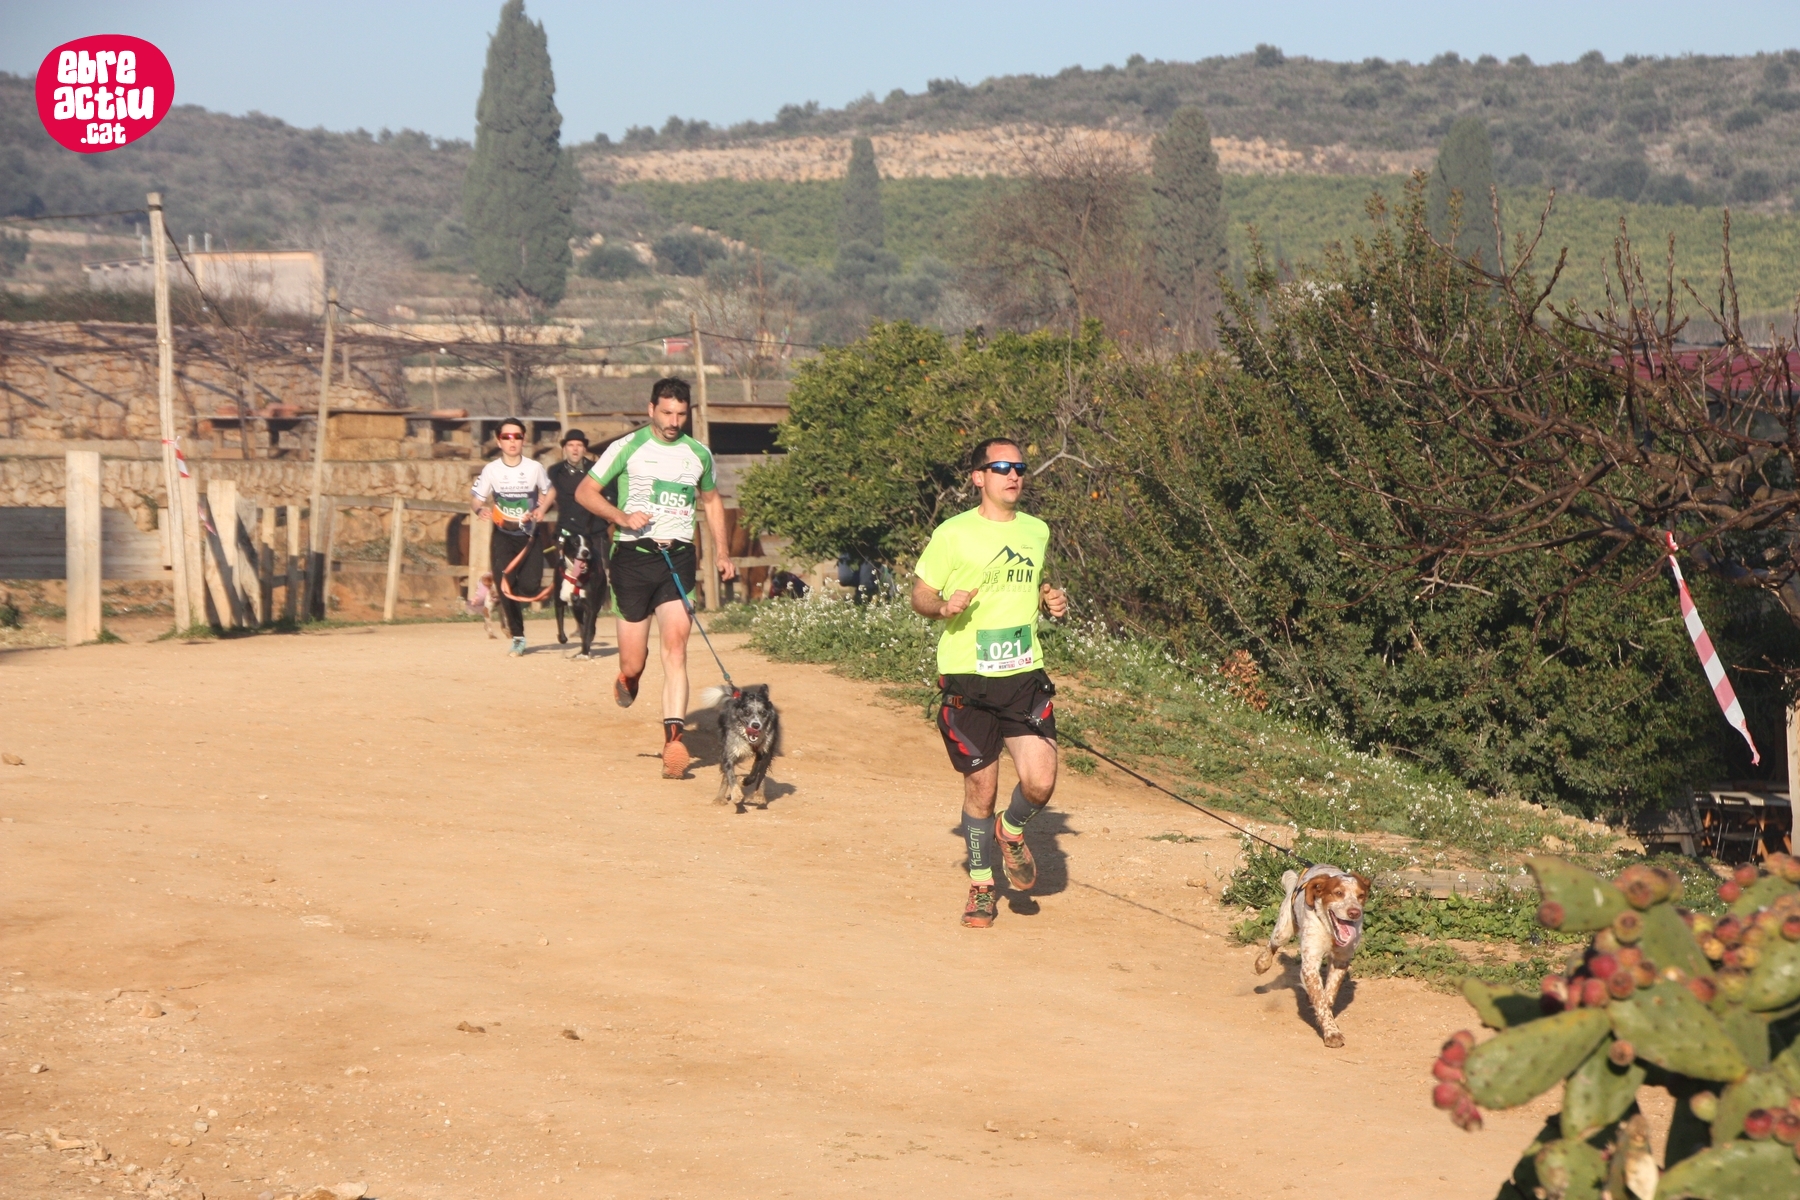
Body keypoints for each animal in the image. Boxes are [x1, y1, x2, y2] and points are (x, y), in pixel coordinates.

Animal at [553, 529, 610, 657]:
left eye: (588, 544)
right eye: (575, 544)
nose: (585, 552)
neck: (575, 576)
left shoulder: (590, 608)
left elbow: (588, 631)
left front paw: (584, 652)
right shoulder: (559, 603)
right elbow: (560, 624)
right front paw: (563, 639)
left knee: (590, 627)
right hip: (576, 610)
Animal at [1253, 864, 1371, 1048]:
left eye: (1361, 895)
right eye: (1338, 893)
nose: (1354, 912)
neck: (1330, 931)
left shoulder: (1341, 961)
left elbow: (1327, 997)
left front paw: (1326, 1020)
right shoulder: (1310, 964)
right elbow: (1321, 1000)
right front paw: (1331, 1033)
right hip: (1284, 930)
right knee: (1272, 944)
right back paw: (1262, 963)